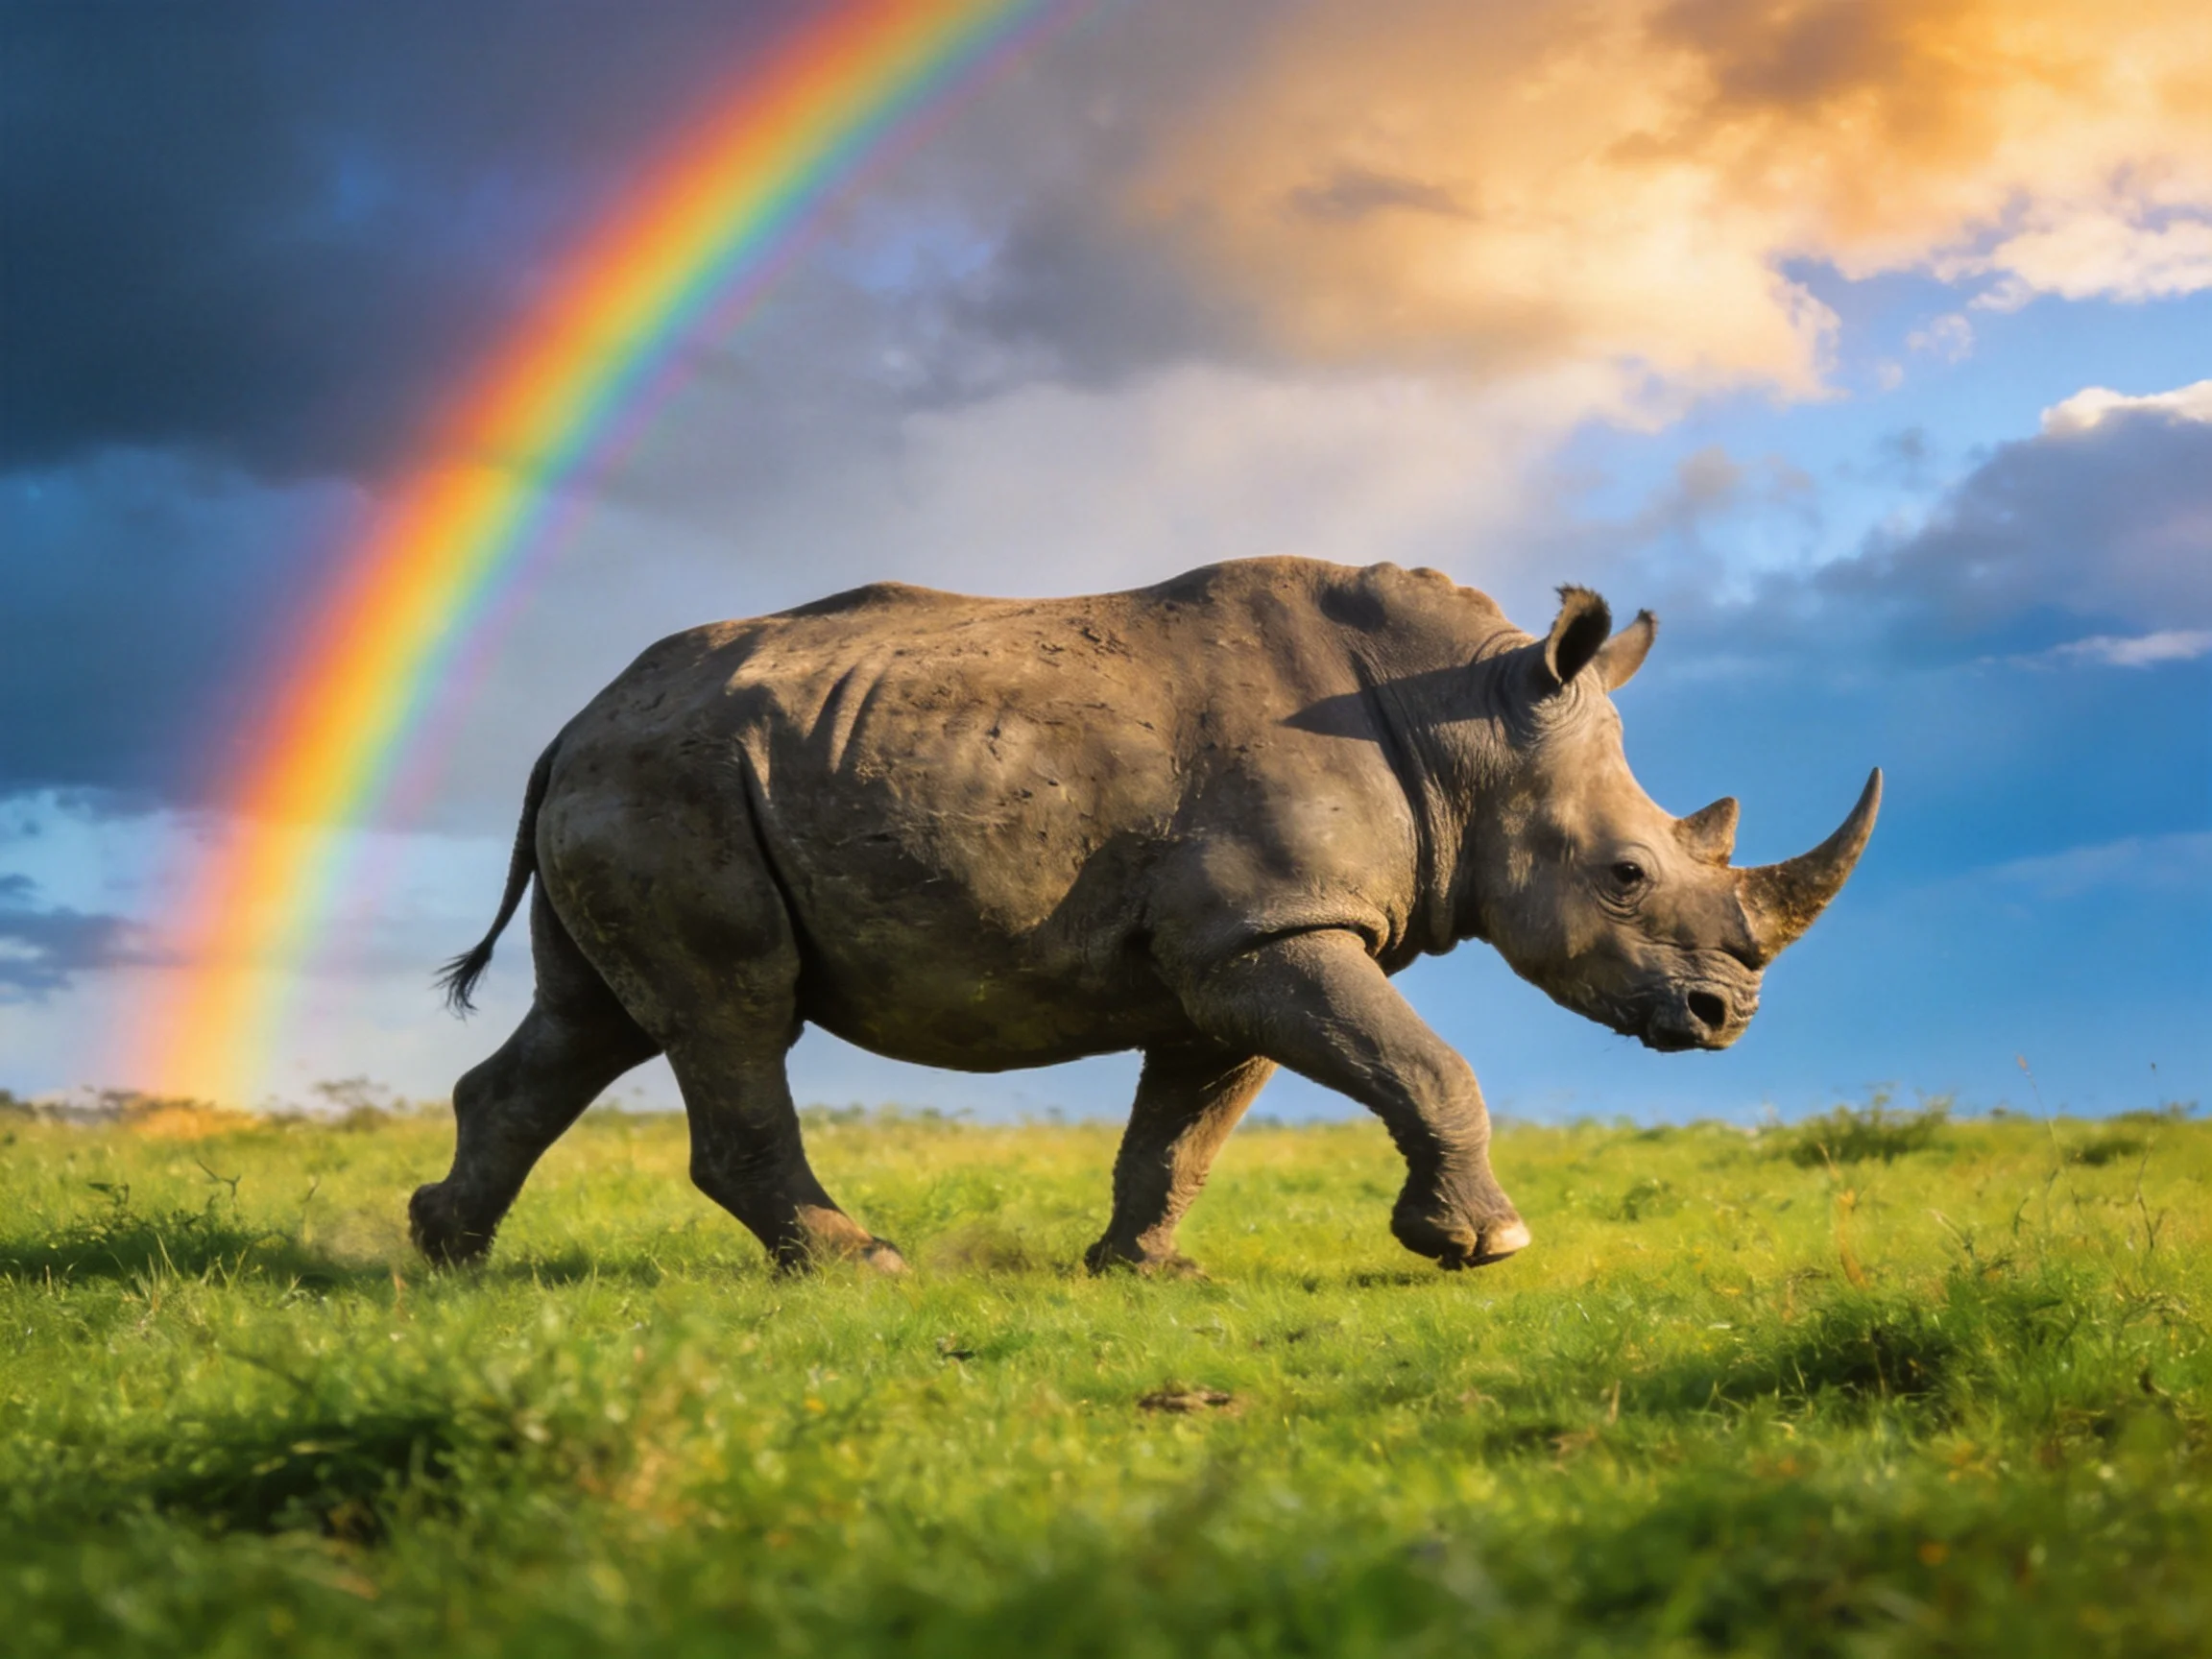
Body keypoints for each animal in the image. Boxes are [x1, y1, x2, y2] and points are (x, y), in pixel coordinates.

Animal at [410, 557, 1877, 1275]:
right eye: (1627, 875)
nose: (1725, 1017)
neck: (1469, 724)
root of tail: (572, 721)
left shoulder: (1242, 941)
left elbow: (1186, 1124)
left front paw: (1142, 1271)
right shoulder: (1270, 928)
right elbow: (1430, 1067)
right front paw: (1485, 1247)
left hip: (643, 778)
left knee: (594, 1019)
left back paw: (447, 1258)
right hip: (670, 783)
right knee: (732, 1010)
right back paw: (859, 1266)